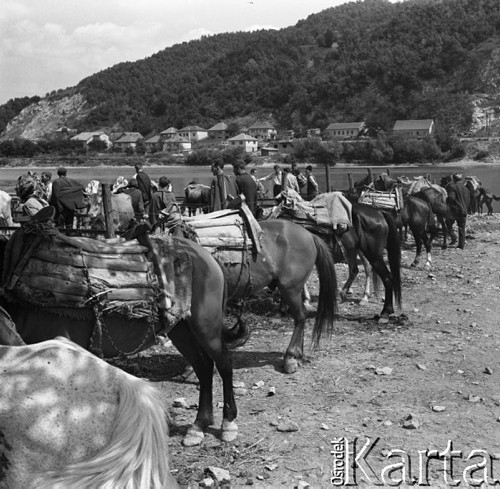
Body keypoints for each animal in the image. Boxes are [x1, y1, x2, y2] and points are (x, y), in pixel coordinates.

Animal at [0, 225, 246, 446]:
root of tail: (206, 256)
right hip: (181, 329)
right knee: (203, 368)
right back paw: (199, 426)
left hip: (205, 326)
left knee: (223, 364)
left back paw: (228, 424)